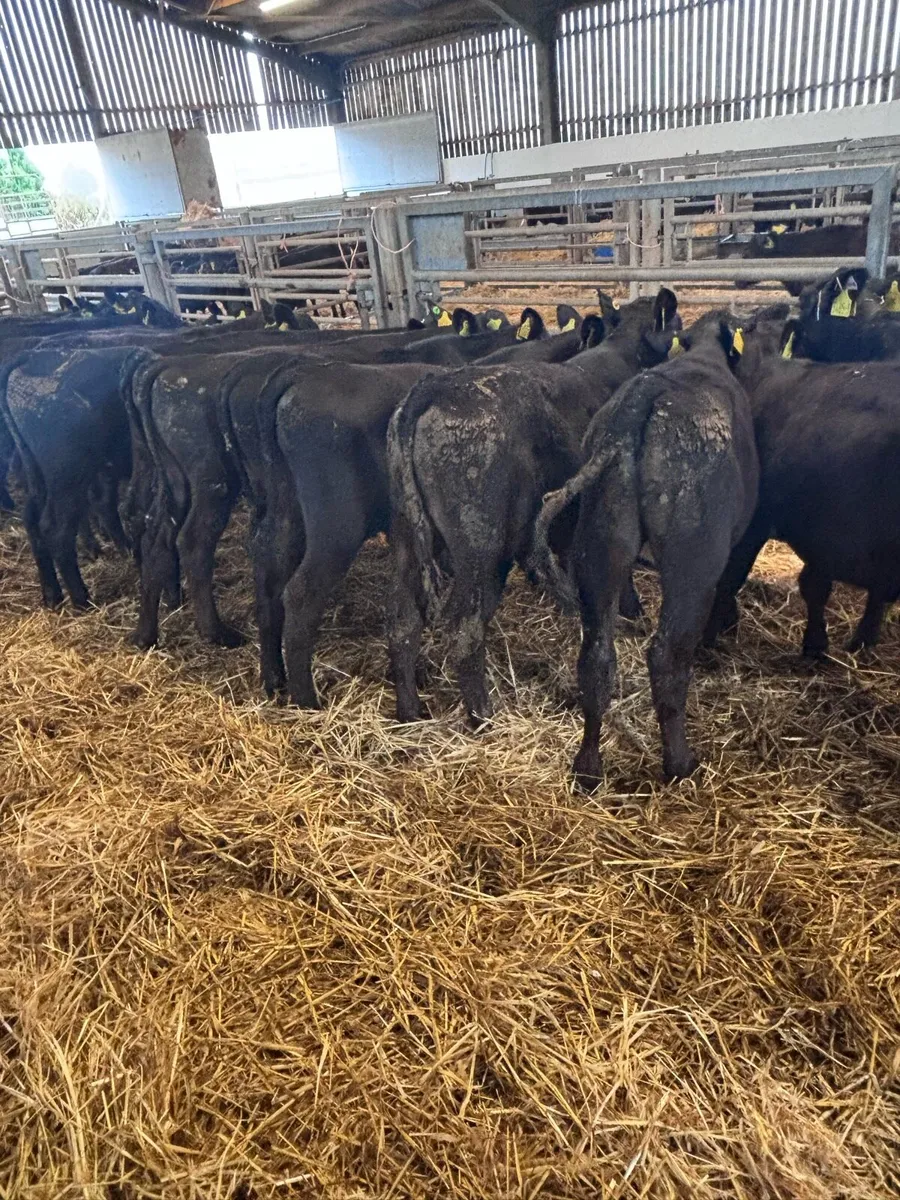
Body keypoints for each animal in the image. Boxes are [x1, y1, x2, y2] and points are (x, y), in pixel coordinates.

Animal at [385, 289, 679, 727]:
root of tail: (432, 389)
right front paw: (632, 613)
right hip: (480, 547)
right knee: (464, 630)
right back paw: (482, 716)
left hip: (406, 535)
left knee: (403, 625)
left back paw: (410, 713)